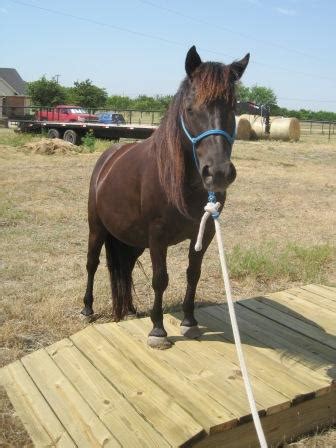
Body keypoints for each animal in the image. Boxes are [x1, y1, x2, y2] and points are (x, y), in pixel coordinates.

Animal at [81, 47, 249, 348]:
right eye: (190, 109)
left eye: (233, 109)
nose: (218, 173)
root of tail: (108, 158)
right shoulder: (157, 235)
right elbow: (160, 279)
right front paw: (157, 330)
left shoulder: (203, 233)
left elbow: (193, 274)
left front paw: (189, 322)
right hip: (97, 228)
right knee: (92, 264)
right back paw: (87, 309)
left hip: (133, 238)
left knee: (126, 267)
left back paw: (131, 309)